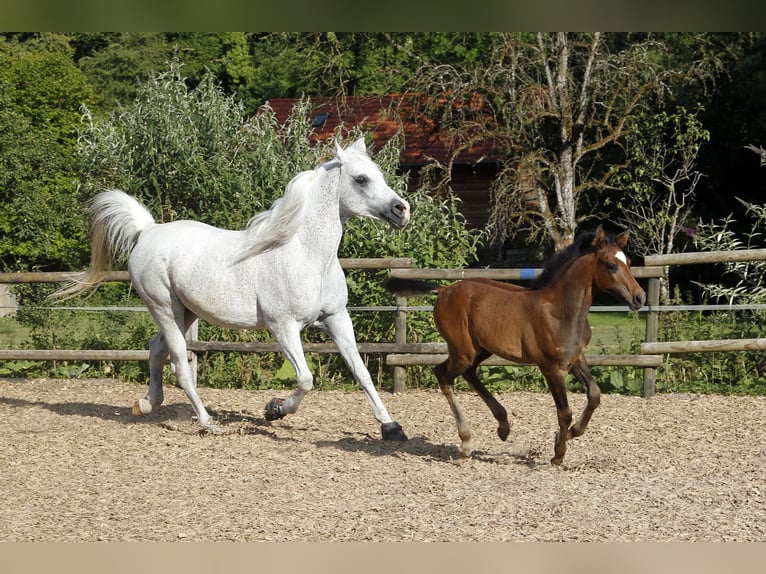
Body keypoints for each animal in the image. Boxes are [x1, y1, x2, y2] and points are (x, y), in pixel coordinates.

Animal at [54, 138, 412, 440]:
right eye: (361, 179)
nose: (402, 210)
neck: (305, 254)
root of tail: (148, 231)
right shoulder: (283, 327)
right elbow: (306, 379)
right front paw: (274, 410)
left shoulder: (337, 318)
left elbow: (361, 372)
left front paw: (391, 427)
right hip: (163, 308)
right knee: (180, 365)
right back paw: (207, 423)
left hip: (185, 312)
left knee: (156, 350)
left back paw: (146, 404)